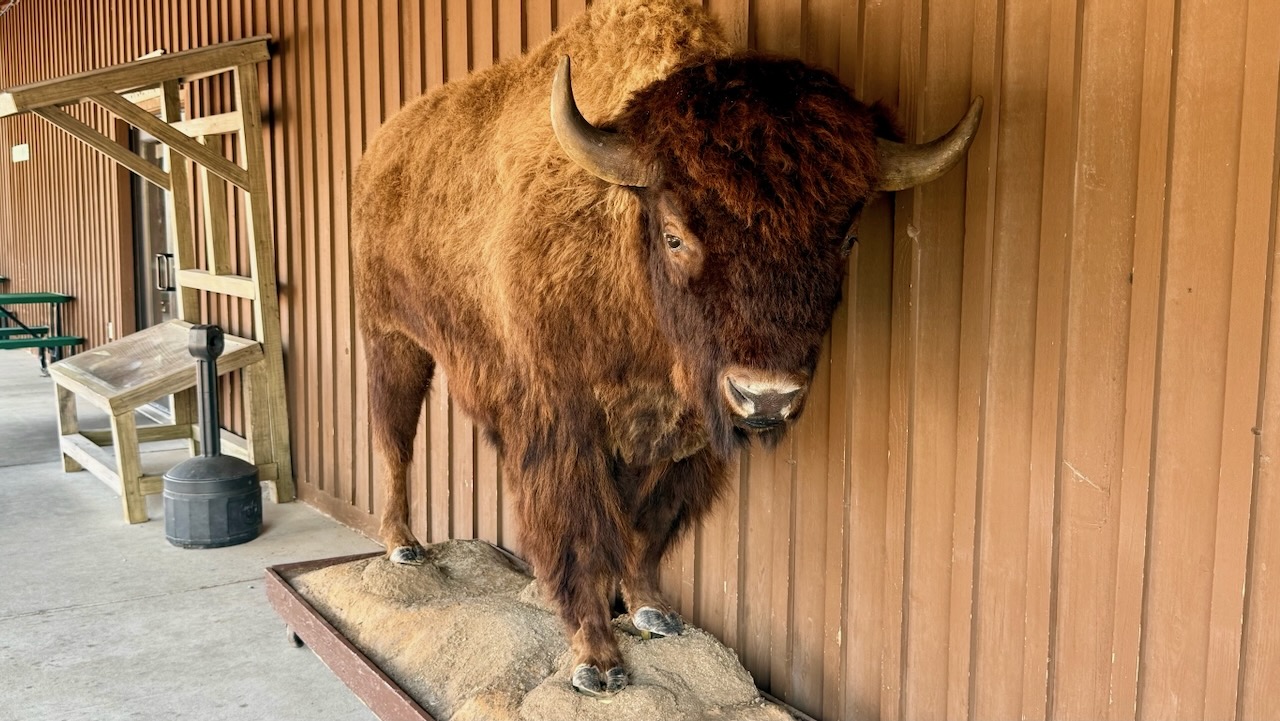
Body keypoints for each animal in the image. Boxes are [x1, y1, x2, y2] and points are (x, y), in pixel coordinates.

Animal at [352, 0, 981, 696]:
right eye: (676, 235)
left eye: (846, 238)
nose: (766, 398)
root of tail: (381, 149)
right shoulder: (567, 428)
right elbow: (583, 532)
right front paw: (597, 662)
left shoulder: (680, 438)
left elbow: (647, 528)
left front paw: (653, 612)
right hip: (391, 340)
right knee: (393, 441)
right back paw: (403, 546)